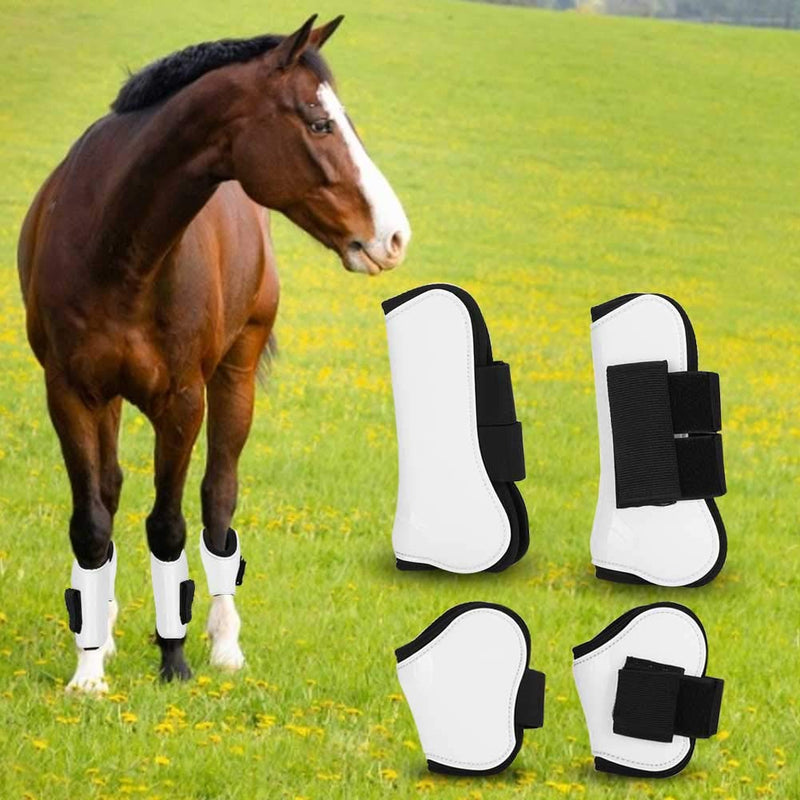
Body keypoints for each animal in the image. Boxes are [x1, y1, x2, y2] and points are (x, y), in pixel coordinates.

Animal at [16, 15, 410, 692]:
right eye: (319, 124)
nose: (394, 236)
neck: (116, 247)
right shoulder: (69, 394)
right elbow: (92, 524)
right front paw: (88, 671)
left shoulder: (182, 402)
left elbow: (169, 526)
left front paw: (173, 661)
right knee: (112, 493)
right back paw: (106, 629)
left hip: (236, 376)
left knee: (218, 501)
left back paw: (225, 645)